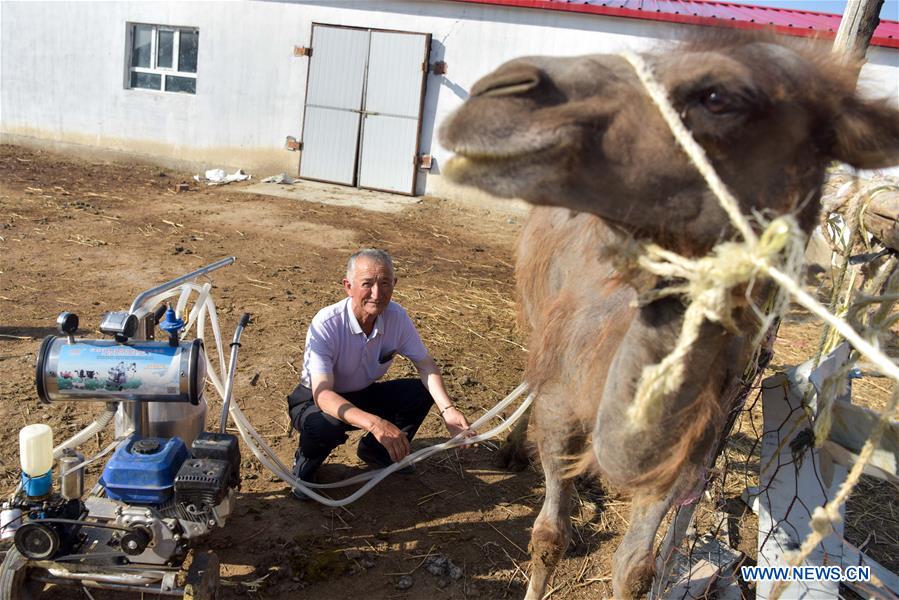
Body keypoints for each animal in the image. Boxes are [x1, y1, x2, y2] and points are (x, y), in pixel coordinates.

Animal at [440, 32, 896, 600]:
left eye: (718, 97)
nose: (501, 88)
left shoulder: (688, 450)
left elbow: (636, 568)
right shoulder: (563, 405)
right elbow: (549, 535)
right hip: (536, 312)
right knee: (532, 372)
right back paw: (510, 449)